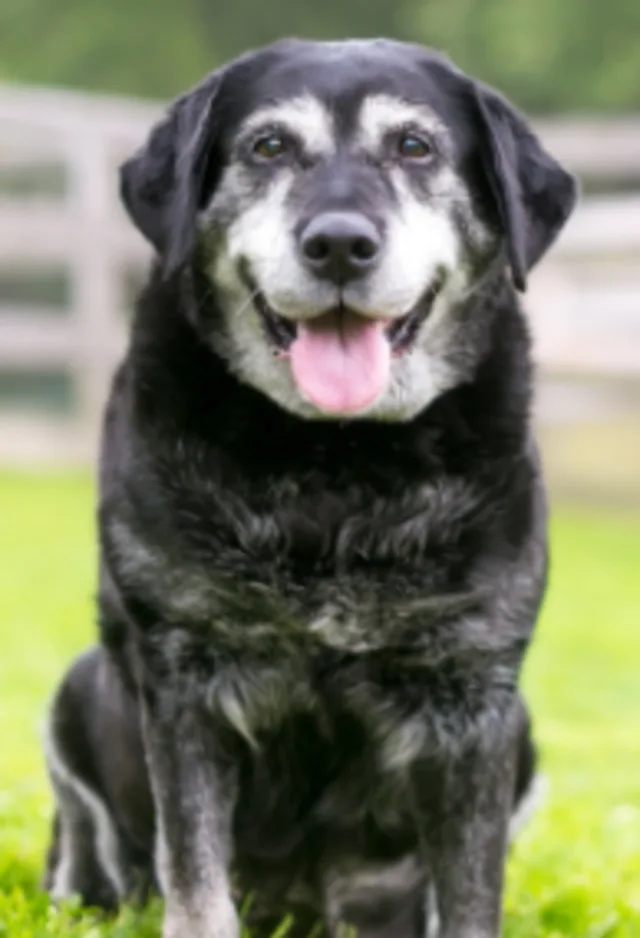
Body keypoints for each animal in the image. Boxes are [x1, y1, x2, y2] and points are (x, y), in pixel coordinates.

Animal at [43, 36, 576, 936]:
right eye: (269, 146)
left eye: (414, 146)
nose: (338, 243)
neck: (337, 465)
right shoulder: (185, 676)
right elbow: (194, 876)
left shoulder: (473, 697)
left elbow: (472, 892)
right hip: (79, 690)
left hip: (523, 734)